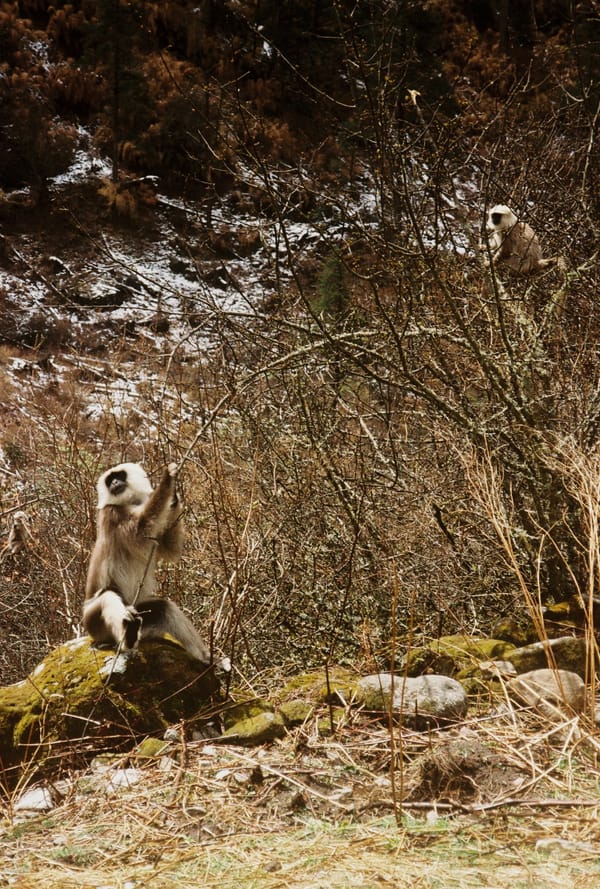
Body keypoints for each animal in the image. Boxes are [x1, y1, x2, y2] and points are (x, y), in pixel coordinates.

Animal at [82, 461, 212, 665]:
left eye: (119, 476)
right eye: (110, 480)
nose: (115, 483)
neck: (129, 502)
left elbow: (170, 551)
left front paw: (174, 498)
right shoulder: (111, 512)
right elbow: (140, 530)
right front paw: (168, 479)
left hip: (140, 614)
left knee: (164, 608)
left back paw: (209, 660)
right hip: (93, 623)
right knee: (107, 596)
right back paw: (128, 637)